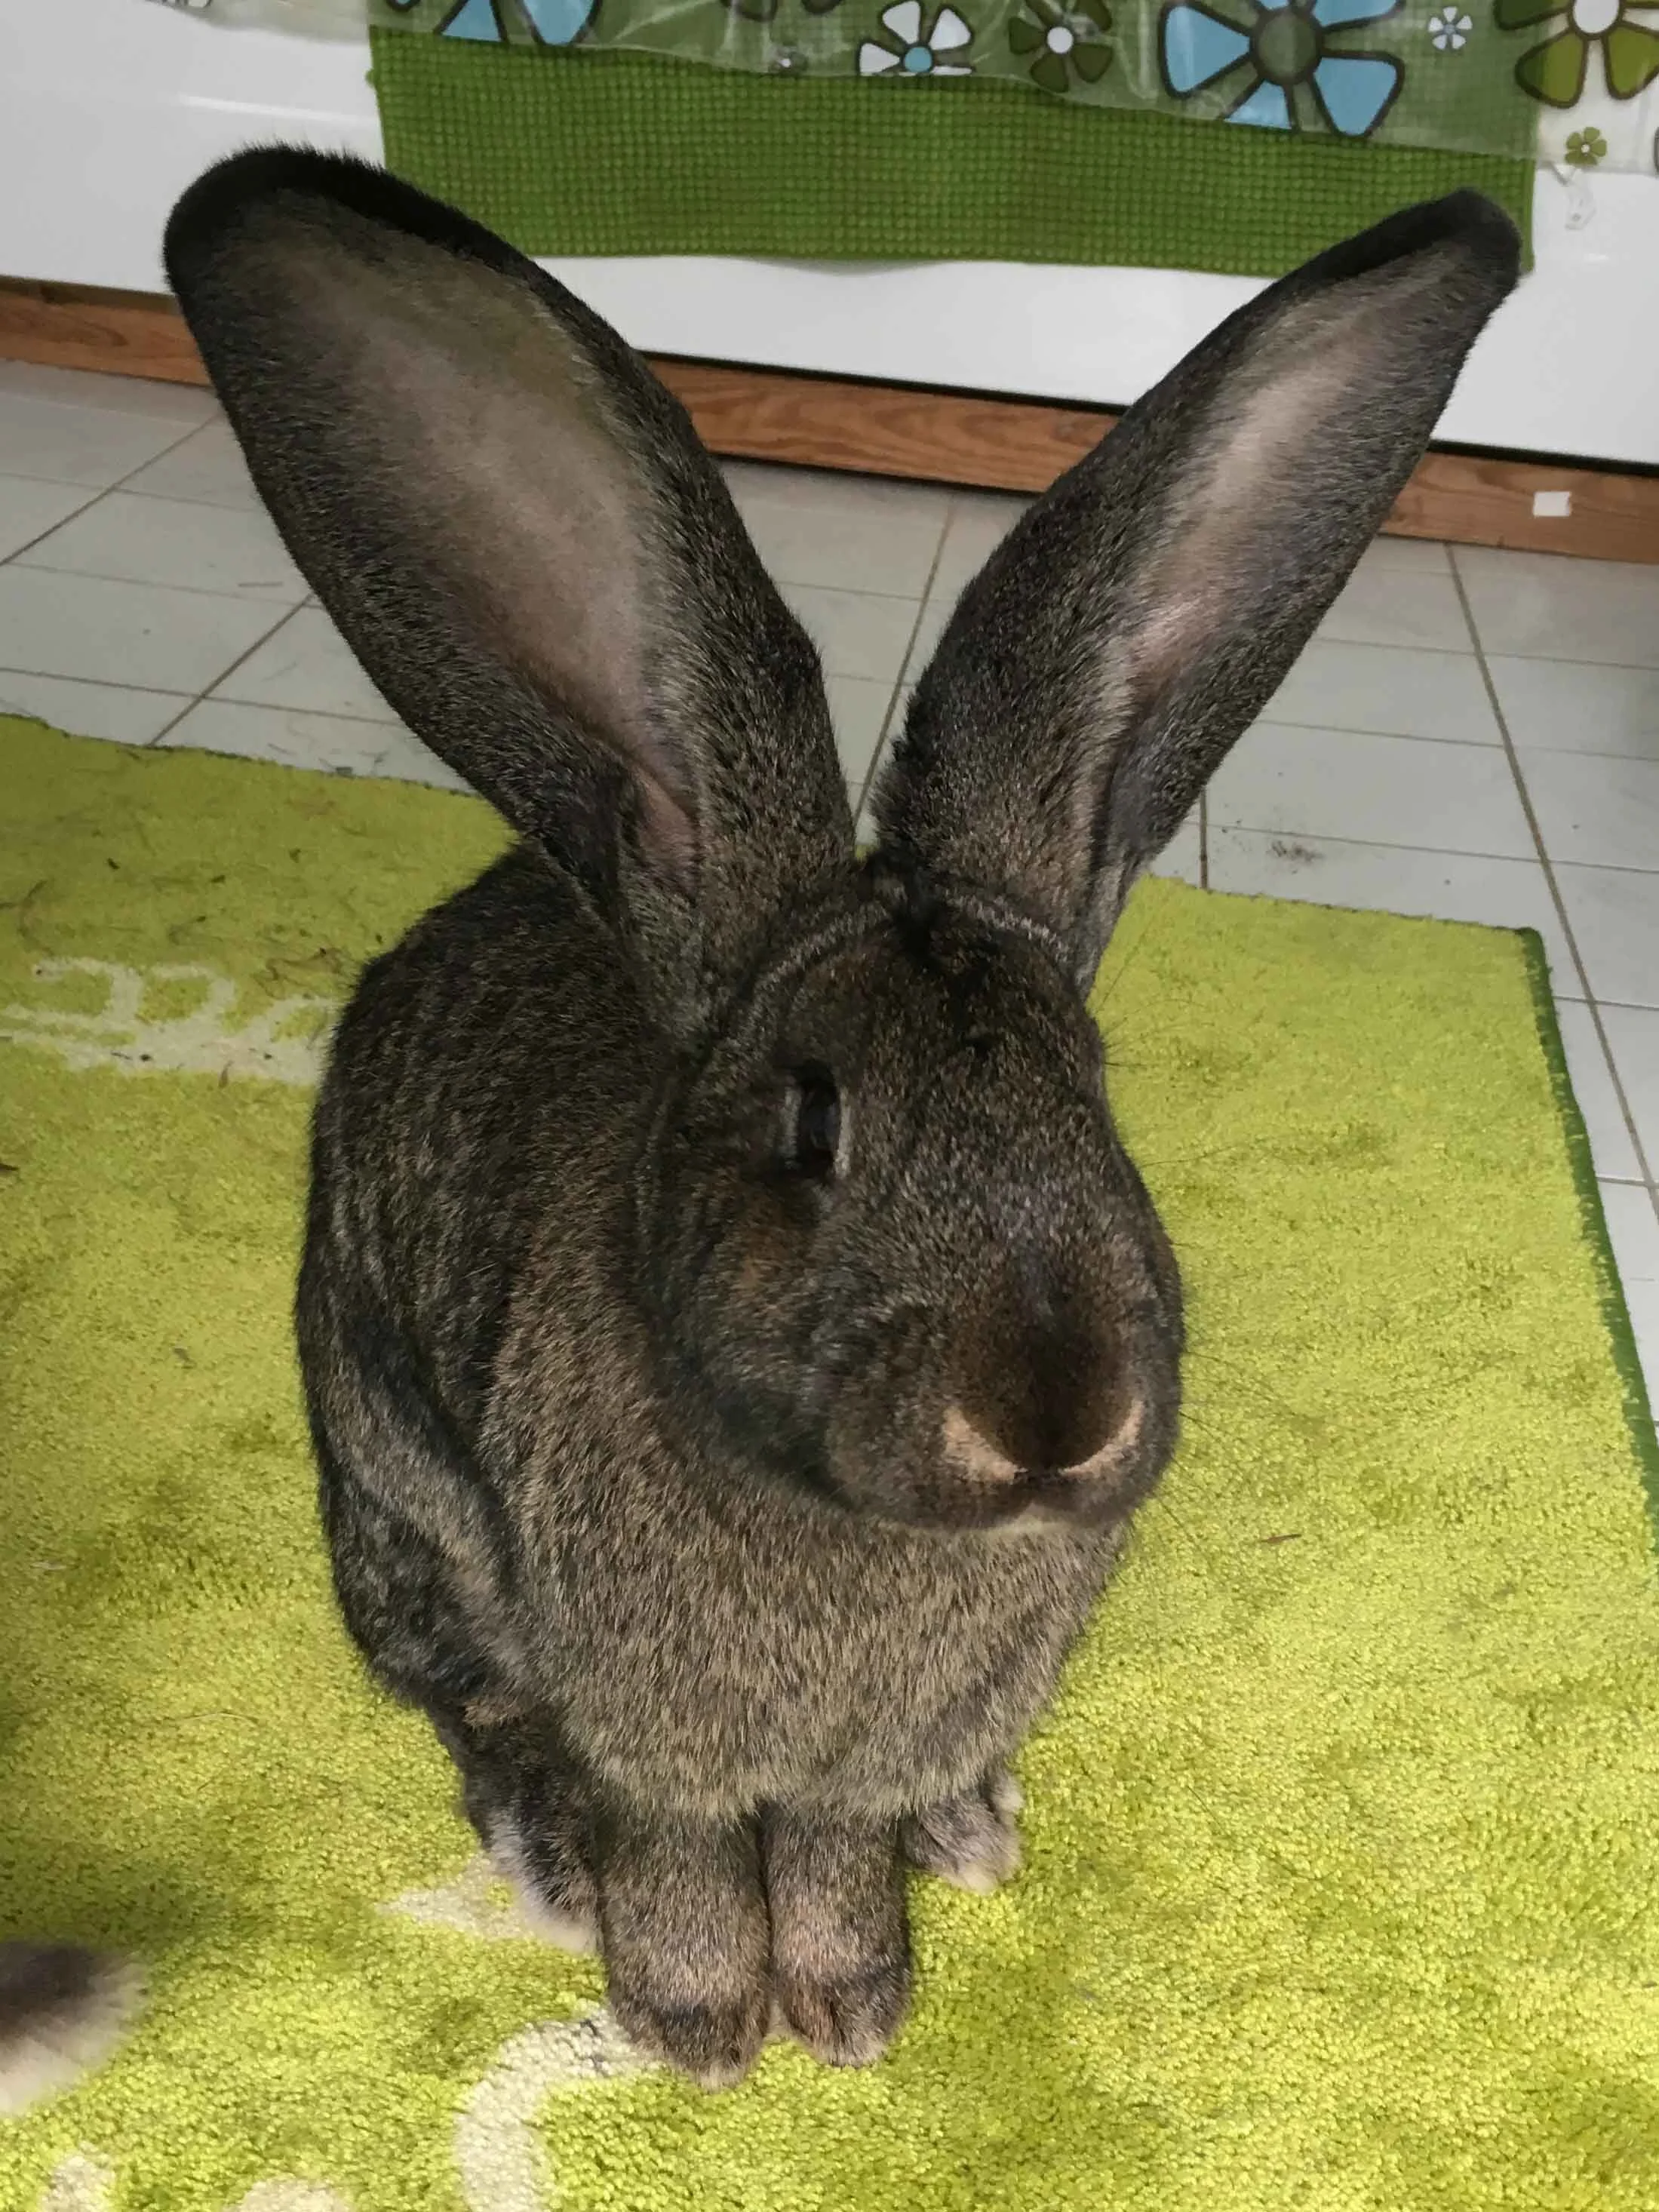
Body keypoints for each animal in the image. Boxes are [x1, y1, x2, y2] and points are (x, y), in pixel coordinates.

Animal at [162, 149, 1517, 2089]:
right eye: (813, 1127)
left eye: (1092, 1093)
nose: (1053, 1417)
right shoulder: (651, 1722)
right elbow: (675, 1846)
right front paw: (701, 2031)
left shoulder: (853, 1761)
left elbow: (827, 1846)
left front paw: (855, 2004)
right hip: (400, 1486)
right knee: (470, 1696)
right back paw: (551, 1849)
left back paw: (969, 1822)